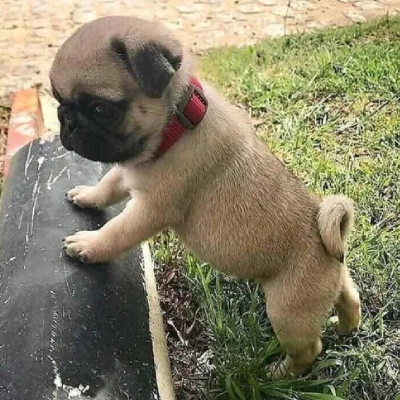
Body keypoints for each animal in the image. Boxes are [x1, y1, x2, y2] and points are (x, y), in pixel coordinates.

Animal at [48, 15, 360, 378]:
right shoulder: (128, 170)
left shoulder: (150, 210)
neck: (176, 123)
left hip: (288, 312)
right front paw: (86, 195)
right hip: (330, 286)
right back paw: (345, 325)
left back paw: (280, 374)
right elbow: (107, 186)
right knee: (350, 298)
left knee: (309, 350)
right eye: (57, 99)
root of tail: (325, 242)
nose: (67, 121)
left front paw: (89, 245)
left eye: (100, 108)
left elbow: (117, 232)